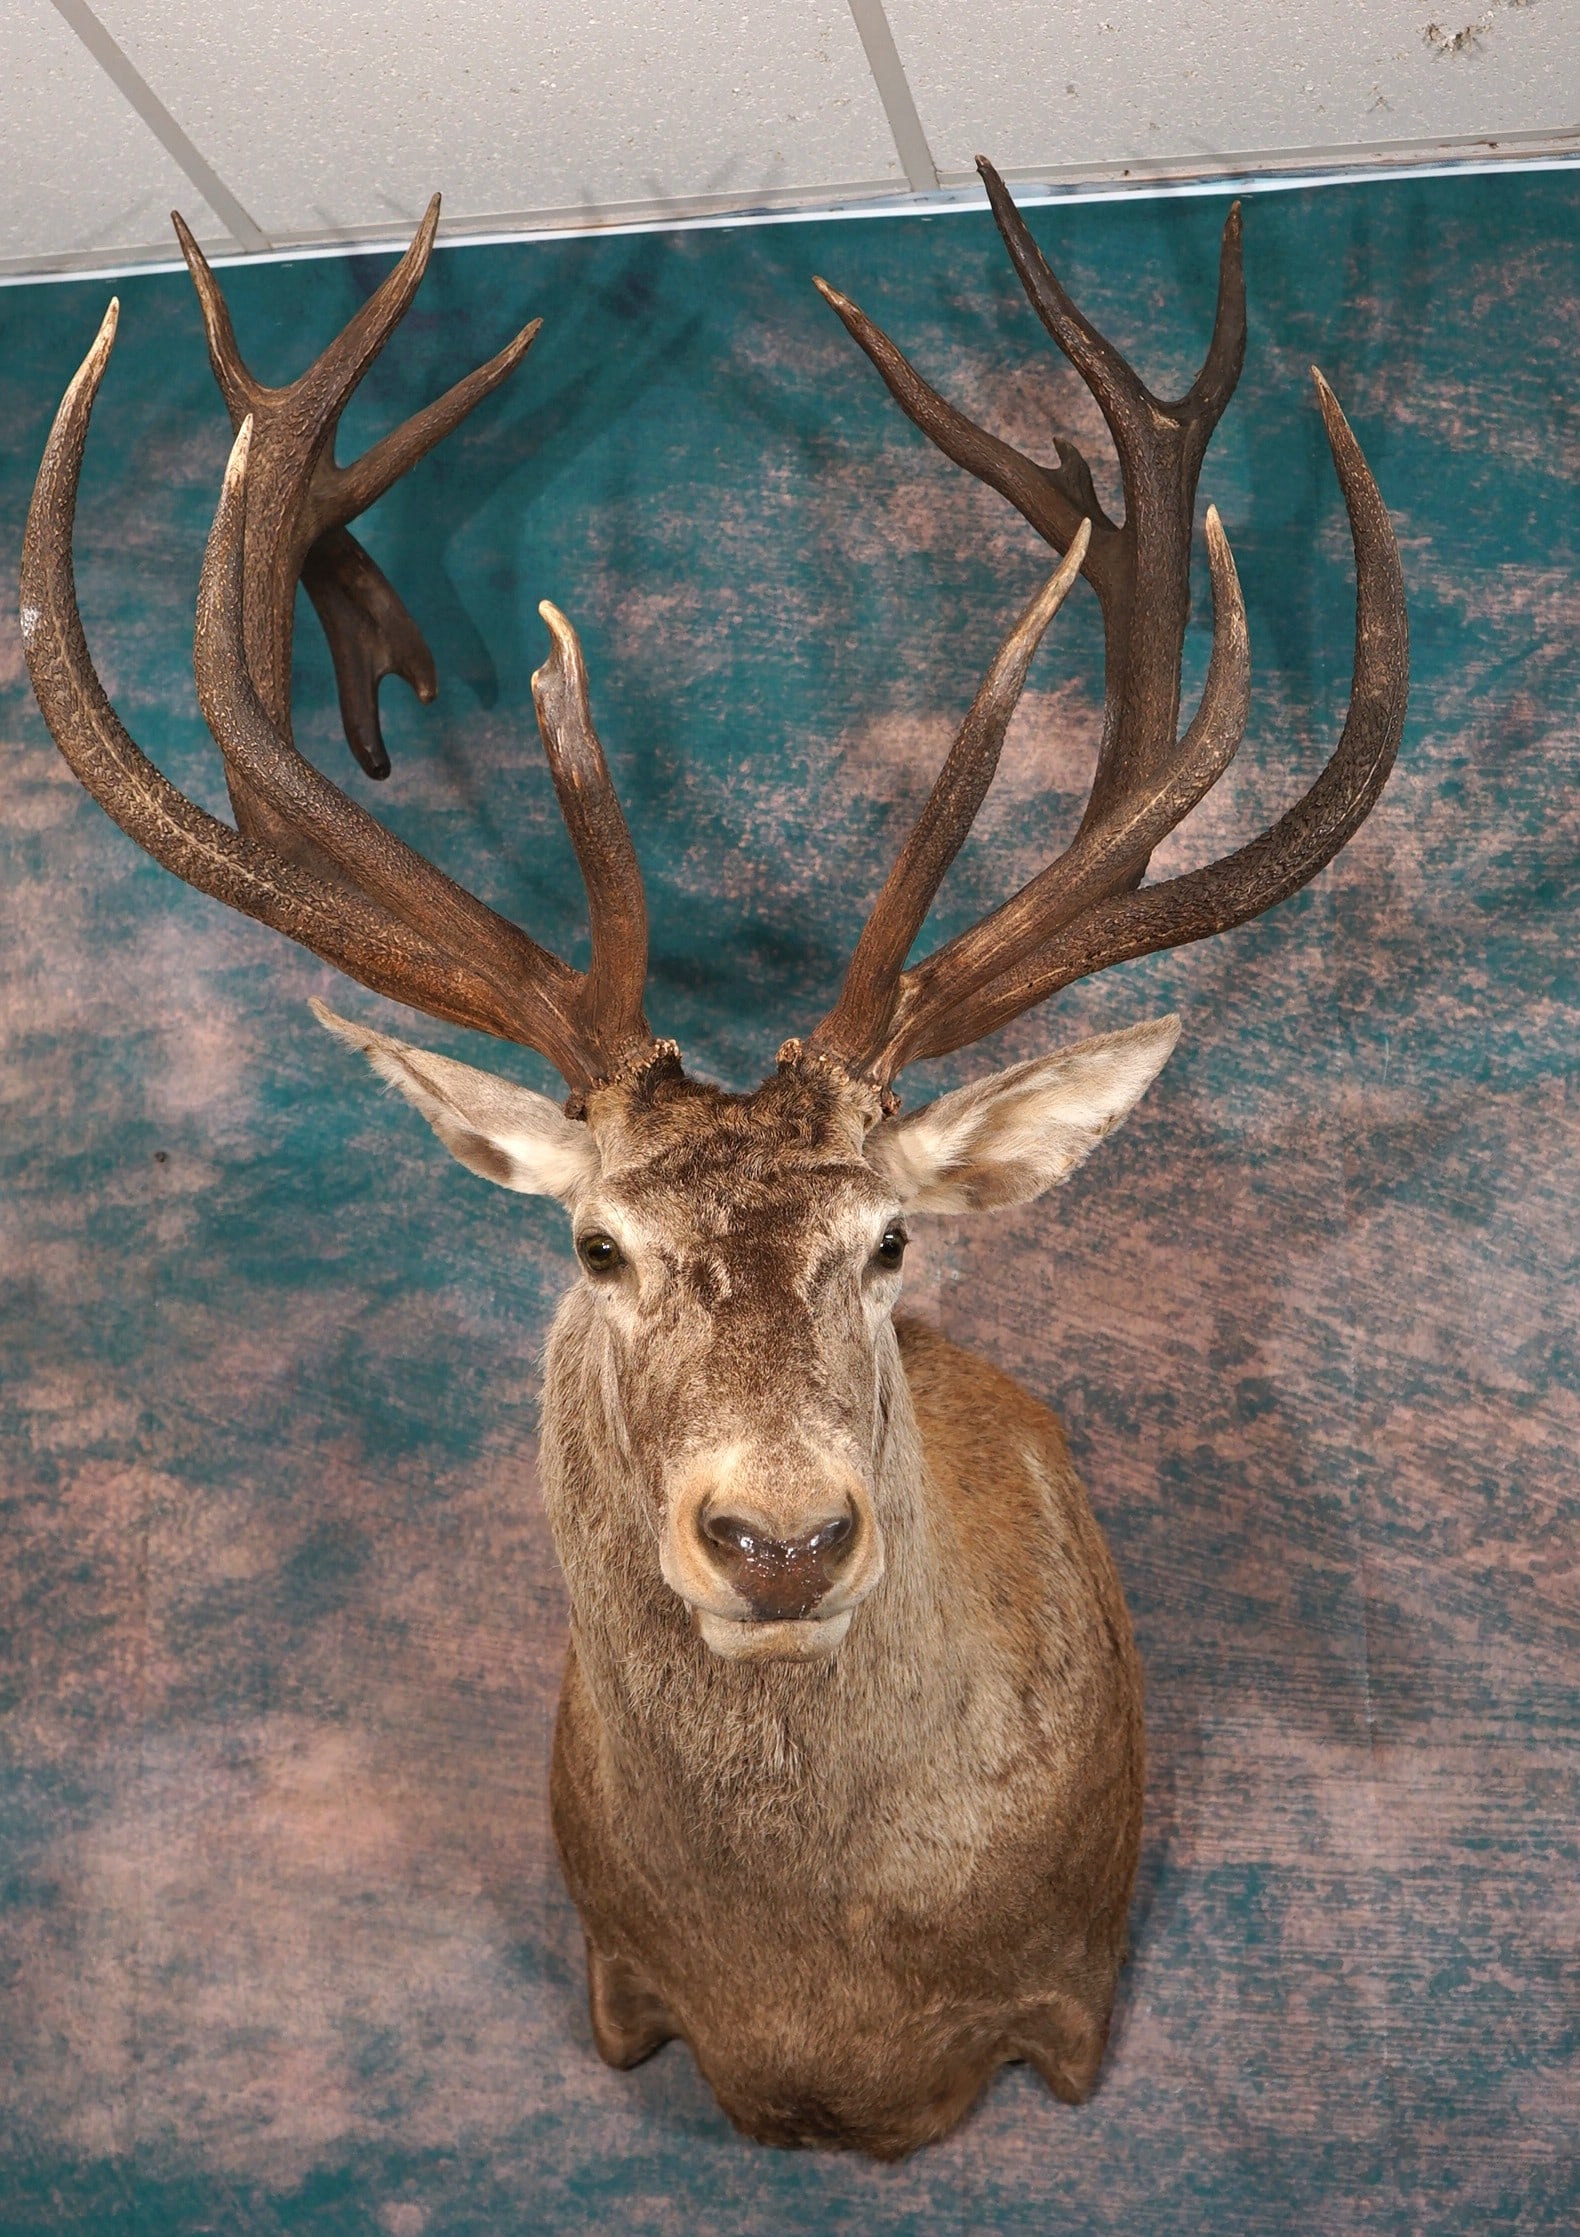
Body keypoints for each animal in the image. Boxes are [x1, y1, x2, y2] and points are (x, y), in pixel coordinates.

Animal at [20, 162, 1407, 2159]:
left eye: (895, 1243)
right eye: (594, 1245)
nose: (779, 1538)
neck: (822, 2016)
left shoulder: (1075, 1997)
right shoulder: (615, 1988)